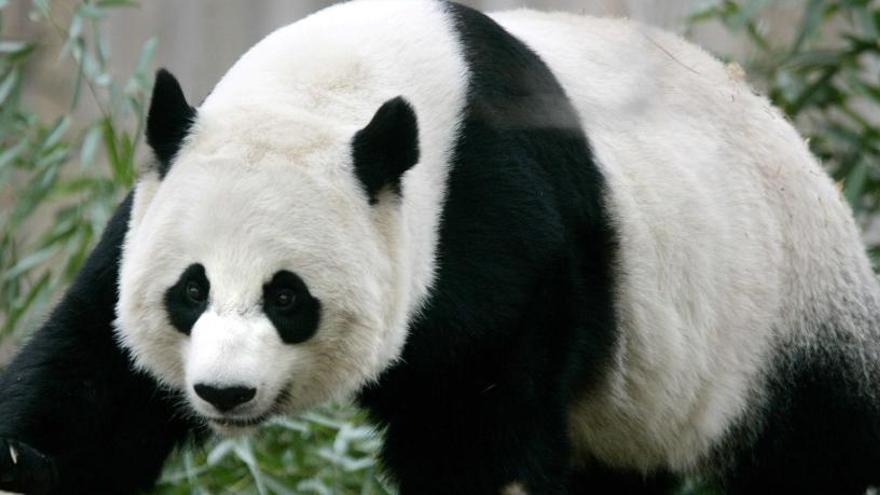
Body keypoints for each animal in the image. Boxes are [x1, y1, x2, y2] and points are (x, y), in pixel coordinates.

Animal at [1, 1, 880, 494]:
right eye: (190, 290)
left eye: (288, 296)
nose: (224, 391)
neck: (332, 86)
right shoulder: (158, 197)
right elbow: (96, 377)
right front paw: (28, 461)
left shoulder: (497, 229)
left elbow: (479, 424)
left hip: (787, 319)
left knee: (816, 452)